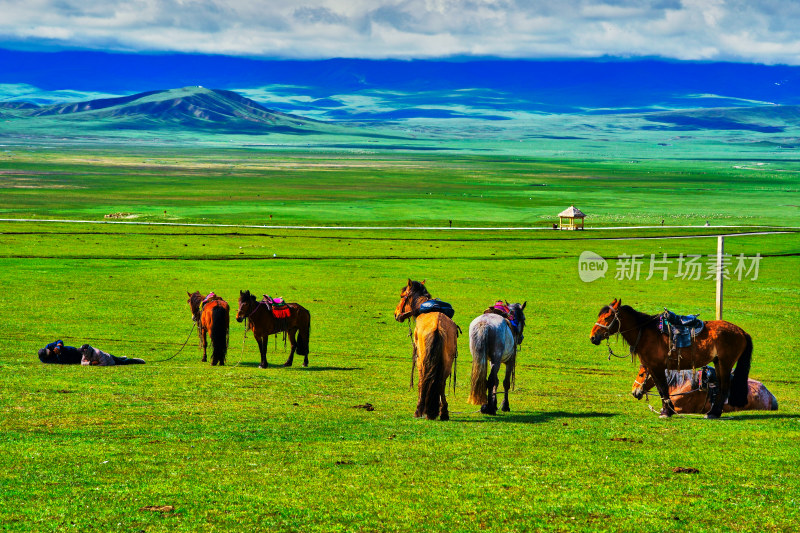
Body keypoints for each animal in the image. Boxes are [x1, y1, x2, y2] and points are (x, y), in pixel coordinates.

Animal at [392, 278, 456, 420]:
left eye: (402, 296)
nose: (396, 314)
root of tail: (437, 326)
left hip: (422, 359)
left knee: (423, 380)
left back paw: (419, 410)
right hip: (447, 361)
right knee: (441, 382)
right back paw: (443, 412)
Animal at [592, 300, 752, 416]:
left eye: (607, 317)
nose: (593, 337)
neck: (645, 334)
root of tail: (741, 331)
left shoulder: (657, 367)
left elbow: (663, 388)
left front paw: (666, 412)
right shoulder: (653, 367)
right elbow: (661, 389)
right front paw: (667, 410)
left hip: (726, 363)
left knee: (725, 387)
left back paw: (714, 413)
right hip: (718, 362)